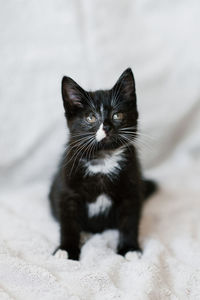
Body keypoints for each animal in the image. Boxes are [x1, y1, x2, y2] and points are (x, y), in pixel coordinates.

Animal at [49, 68, 157, 260]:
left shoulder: (132, 189)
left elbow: (129, 221)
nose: (106, 127)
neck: (103, 159)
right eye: (91, 117)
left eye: (117, 115)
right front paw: (66, 249)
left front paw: (129, 248)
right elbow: (69, 222)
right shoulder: (67, 190)